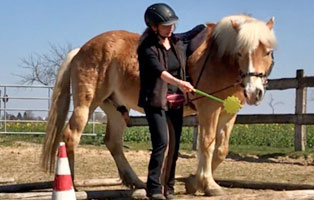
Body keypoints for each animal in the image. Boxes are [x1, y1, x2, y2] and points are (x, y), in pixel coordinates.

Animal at [41, 14, 278, 196]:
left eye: (267, 52)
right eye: (240, 52)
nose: (254, 92)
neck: (219, 58)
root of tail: (81, 50)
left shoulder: (228, 113)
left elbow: (220, 149)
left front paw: (194, 182)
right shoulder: (208, 110)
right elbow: (207, 145)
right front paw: (208, 184)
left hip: (115, 108)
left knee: (113, 142)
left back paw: (137, 182)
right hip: (87, 103)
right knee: (71, 136)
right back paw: (71, 184)